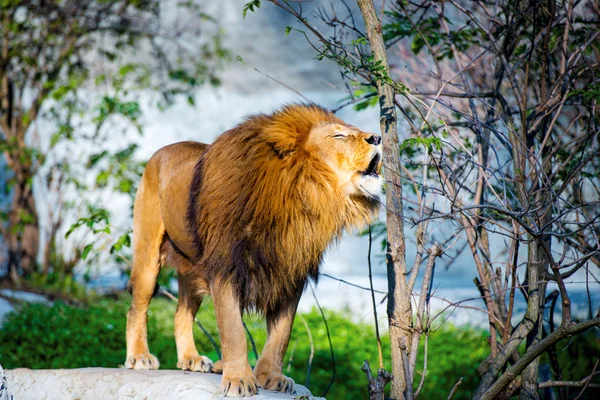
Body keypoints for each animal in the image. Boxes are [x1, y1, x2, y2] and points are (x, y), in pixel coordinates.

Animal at [124, 103, 382, 396]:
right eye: (338, 136)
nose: (377, 137)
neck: (302, 198)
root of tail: (162, 150)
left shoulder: (290, 272)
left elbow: (281, 335)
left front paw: (271, 377)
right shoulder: (226, 265)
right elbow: (234, 331)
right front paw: (238, 380)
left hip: (193, 269)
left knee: (181, 314)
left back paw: (192, 359)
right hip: (148, 254)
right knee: (137, 307)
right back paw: (140, 356)